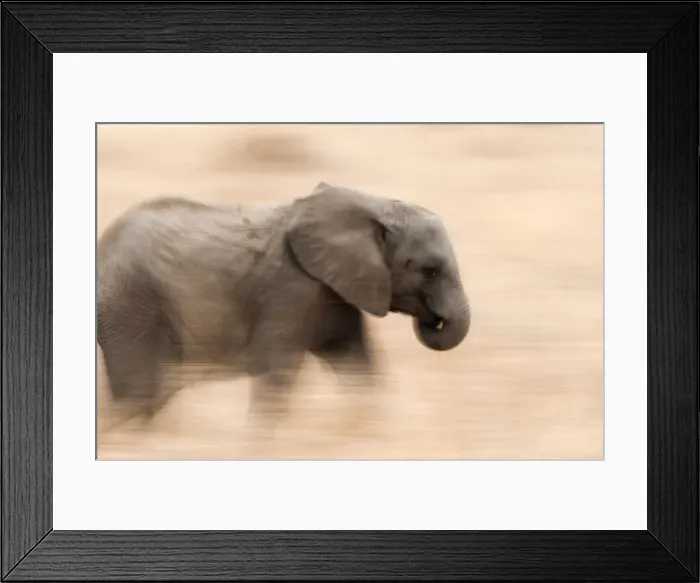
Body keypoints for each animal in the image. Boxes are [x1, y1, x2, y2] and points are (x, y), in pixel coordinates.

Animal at [97, 181, 471, 433]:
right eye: (430, 271)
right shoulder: (290, 287)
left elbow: (356, 360)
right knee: (140, 391)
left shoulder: (335, 289)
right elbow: (278, 367)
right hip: (130, 305)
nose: (433, 319)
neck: (376, 206)